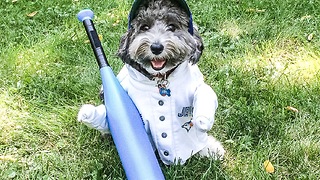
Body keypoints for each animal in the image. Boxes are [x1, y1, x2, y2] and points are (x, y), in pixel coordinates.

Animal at [77, 0, 225, 165]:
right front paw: (89, 114)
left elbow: (205, 93)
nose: (156, 47)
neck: (160, 80)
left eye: (172, 26)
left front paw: (205, 130)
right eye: (145, 27)